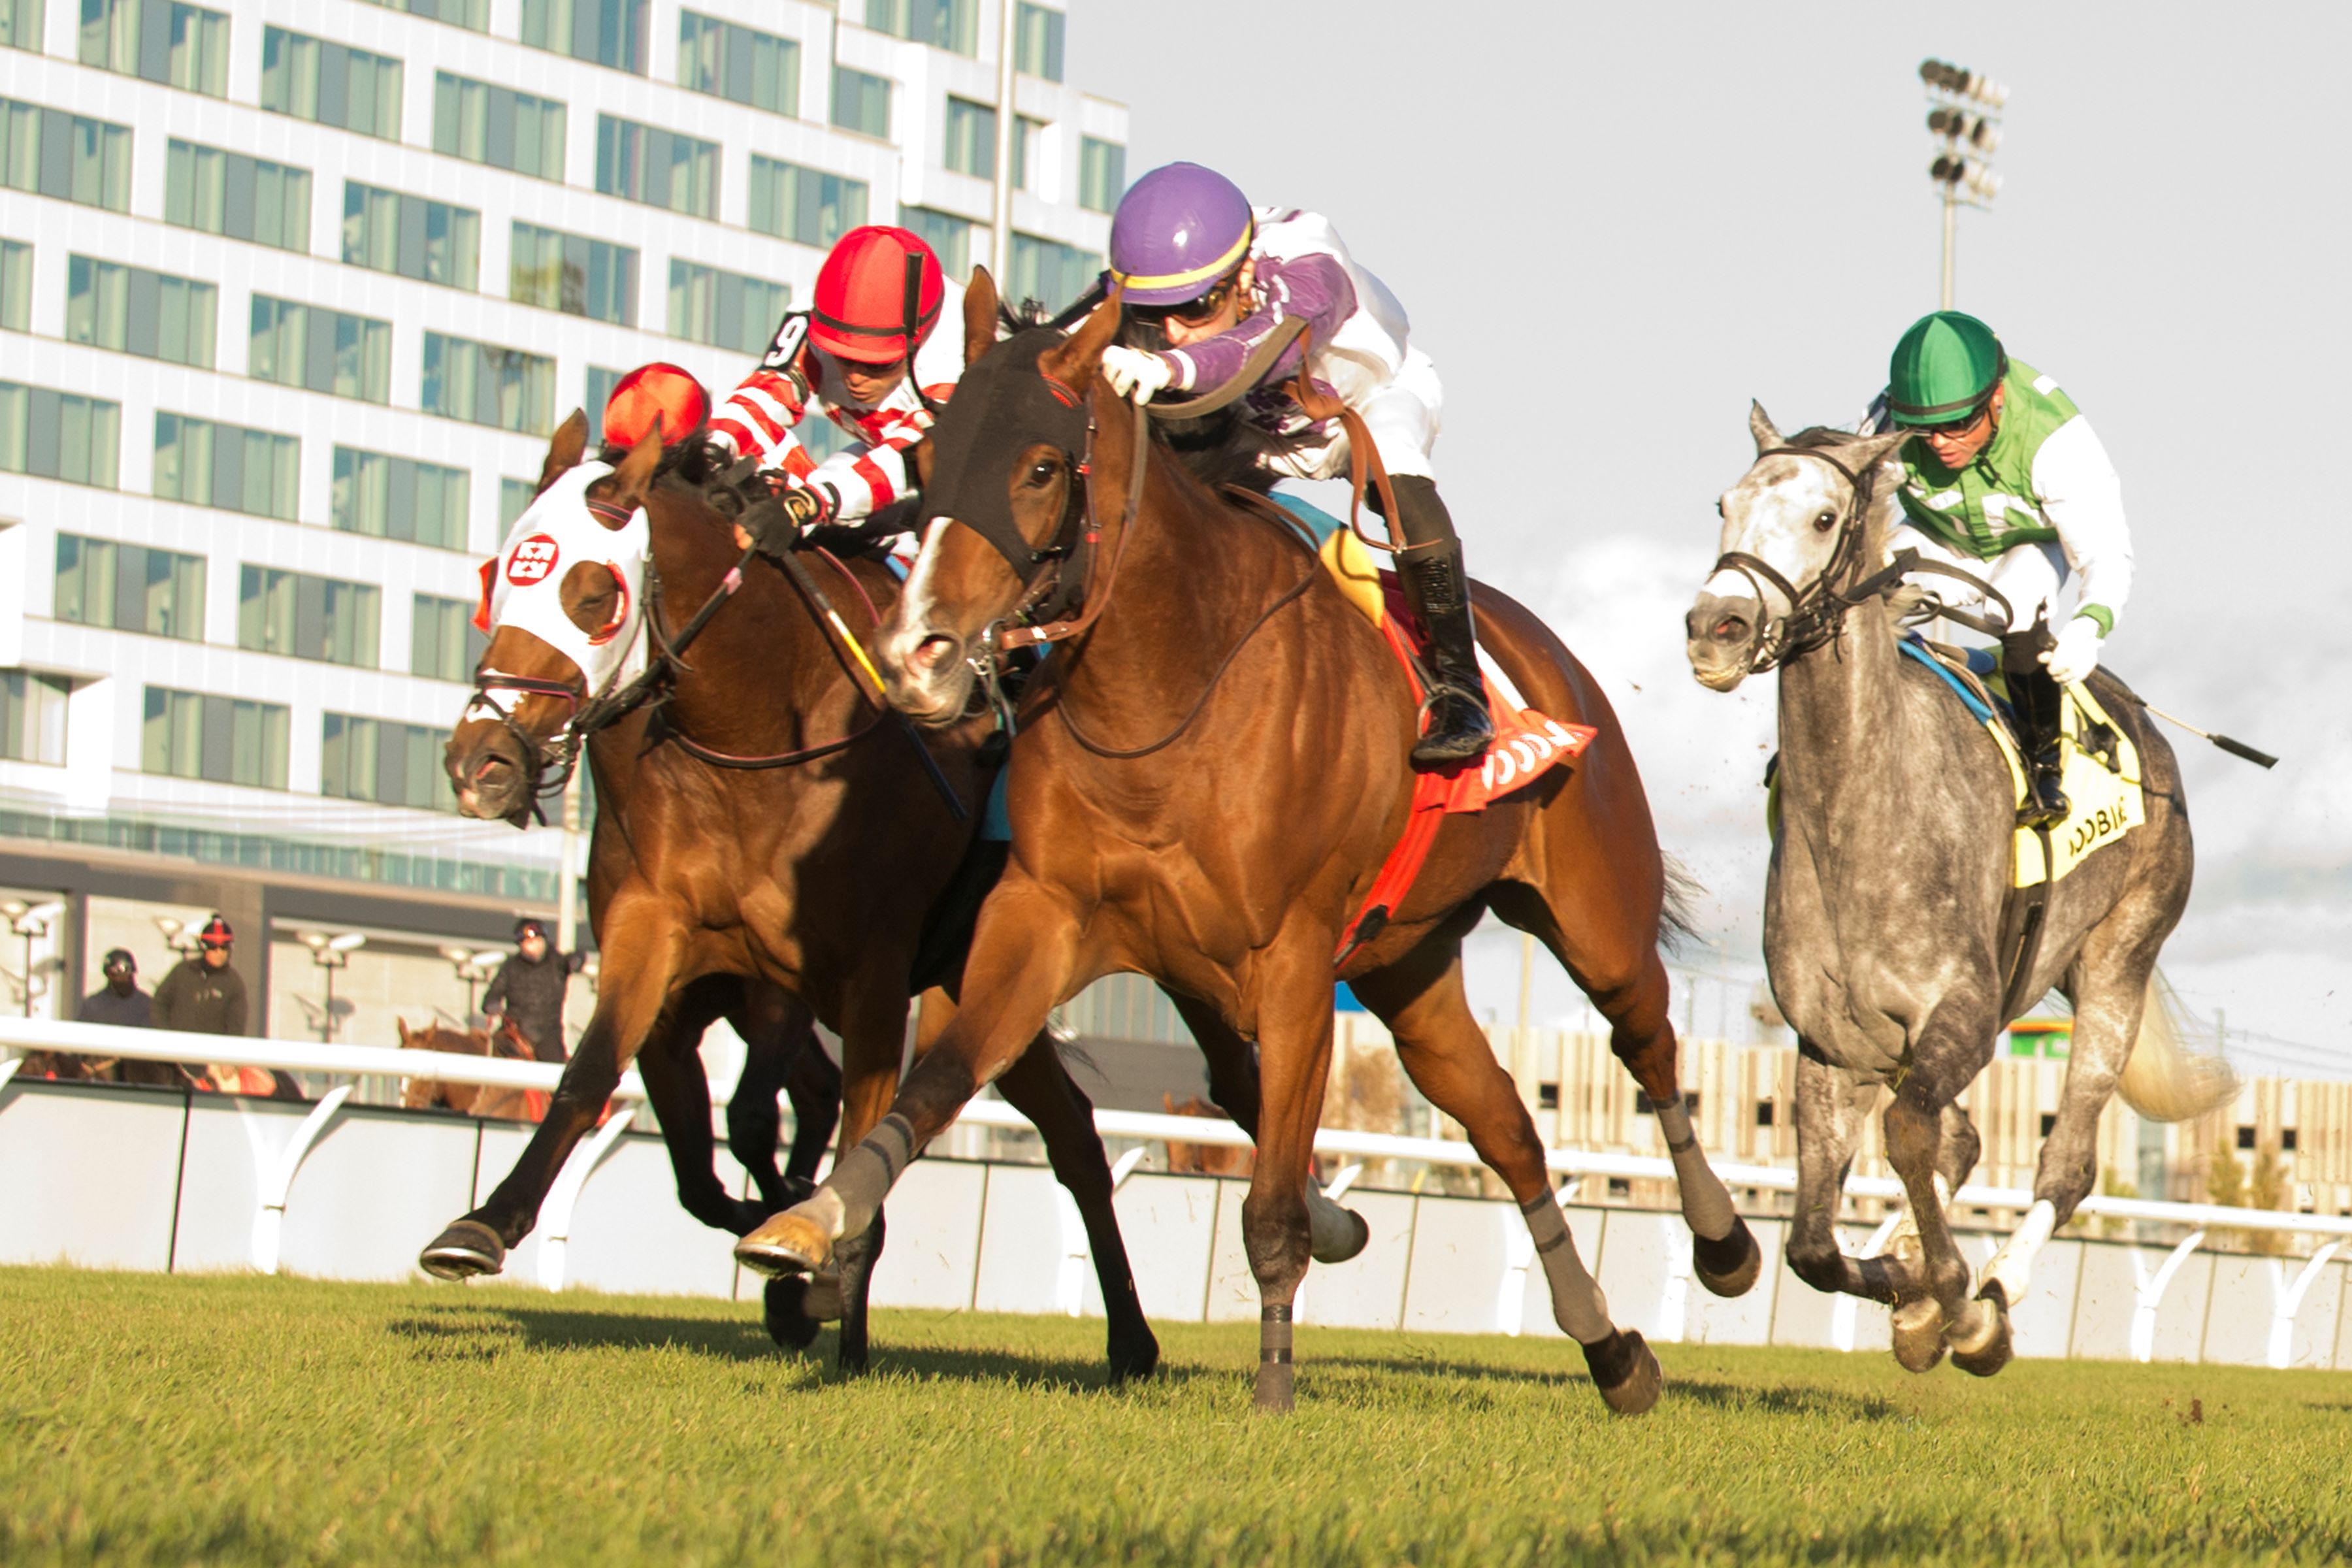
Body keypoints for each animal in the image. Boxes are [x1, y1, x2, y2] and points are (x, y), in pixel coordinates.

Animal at [738, 276, 1769, 1420]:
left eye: (1042, 466)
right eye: (927, 463)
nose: (917, 655)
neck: (1164, 690)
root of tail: (1554, 660)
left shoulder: (1294, 963)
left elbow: (1271, 1200)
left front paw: (1274, 1381)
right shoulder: (1044, 918)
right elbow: (941, 1078)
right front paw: (807, 1223)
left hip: (1594, 915)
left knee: (1649, 1044)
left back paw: (1725, 1246)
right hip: (1408, 971)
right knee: (1506, 1123)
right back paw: (1613, 1353)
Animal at [1684, 404, 2229, 1373]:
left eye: (1824, 517)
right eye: (1725, 503)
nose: (1717, 625)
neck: (1863, 810)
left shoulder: (1965, 1013)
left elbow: (1909, 1133)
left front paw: (1955, 1303)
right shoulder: (1834, 1041)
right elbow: (1813, 1245)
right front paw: (1910, 1289)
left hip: (2117, 967)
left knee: (2064, 1163)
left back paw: (1997, 1290)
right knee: (1963, 1138)